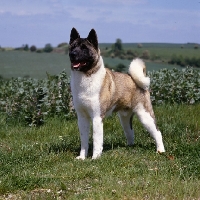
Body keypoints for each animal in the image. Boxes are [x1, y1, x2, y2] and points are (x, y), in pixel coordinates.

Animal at [69, 27, 166, 159]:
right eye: (73, 47)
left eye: (84, 48)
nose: (72, 54)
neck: (86, 77)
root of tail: (133, 79)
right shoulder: (82, 118)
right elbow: (84, 140)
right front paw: (82, 157)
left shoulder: (97, 117)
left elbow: (96, 140)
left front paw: (95, 158)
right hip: (124, 119)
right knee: (130, 132)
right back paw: (129, 147)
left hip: (145, 115)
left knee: (157, 132)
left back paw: (160, 150)